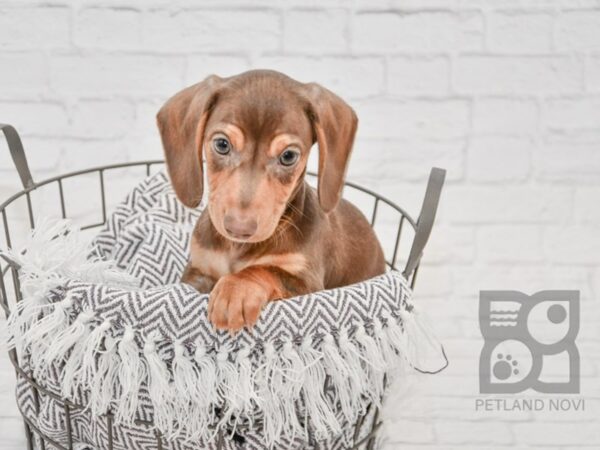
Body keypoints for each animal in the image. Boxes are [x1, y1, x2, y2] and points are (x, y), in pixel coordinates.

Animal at [158, 69, 384, 330]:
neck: (237, 249)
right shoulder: (198, 269)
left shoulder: (308, 283)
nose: (239, 228)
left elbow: (265, 269)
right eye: (222, 144)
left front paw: (235, 290)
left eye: (288, 156)